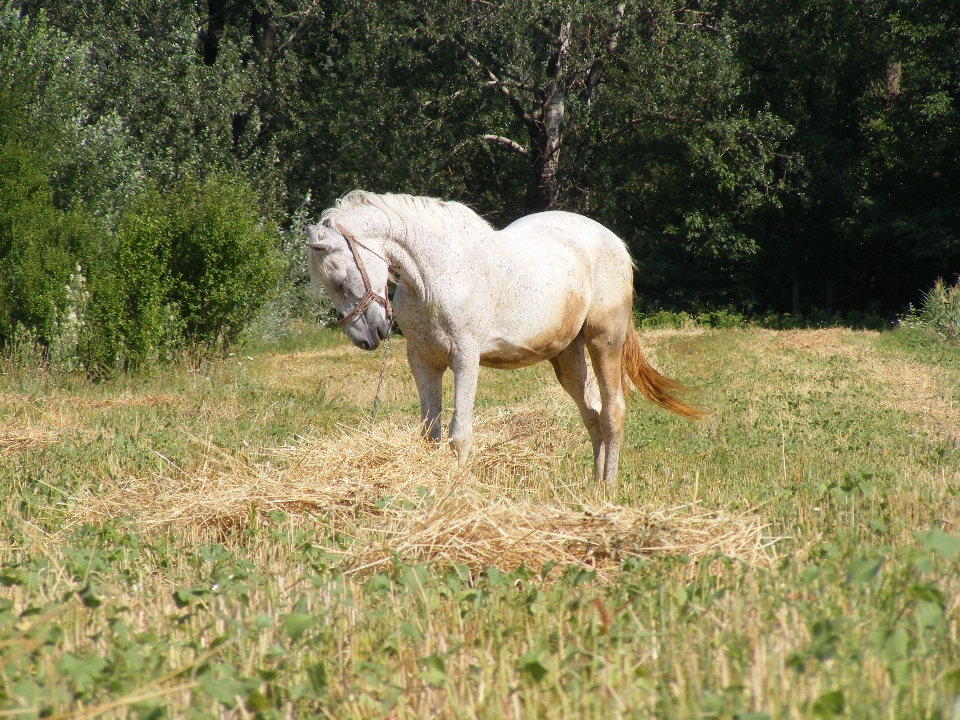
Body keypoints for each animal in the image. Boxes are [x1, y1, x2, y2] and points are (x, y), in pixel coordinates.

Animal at [308, 190, 696, 484]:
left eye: (339, 280)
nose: (366, 336)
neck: (434, 273)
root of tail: (615, 243)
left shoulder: (465, 357)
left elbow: (460, 435)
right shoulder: (423, 362)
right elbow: (430, 436)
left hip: (605, 340)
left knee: (613, 412)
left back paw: (609, 490)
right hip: (568, 356)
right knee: (593, 415)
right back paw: (595, 486)